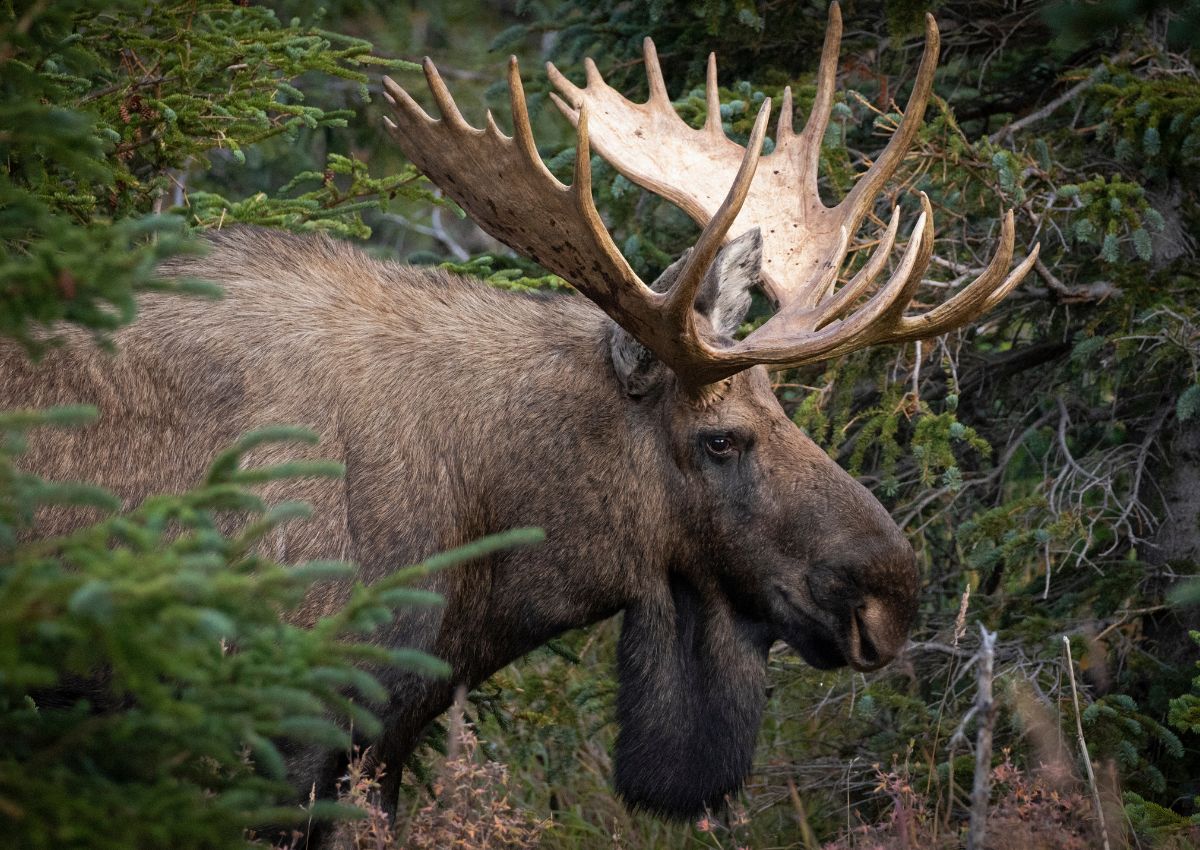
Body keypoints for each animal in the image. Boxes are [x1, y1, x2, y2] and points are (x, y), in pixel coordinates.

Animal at [0, 0, 1036, 835]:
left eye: (785, 414)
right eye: (721, 440)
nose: (891, 597)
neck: (486, 537)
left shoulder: (385, 737)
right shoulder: (277, 725)